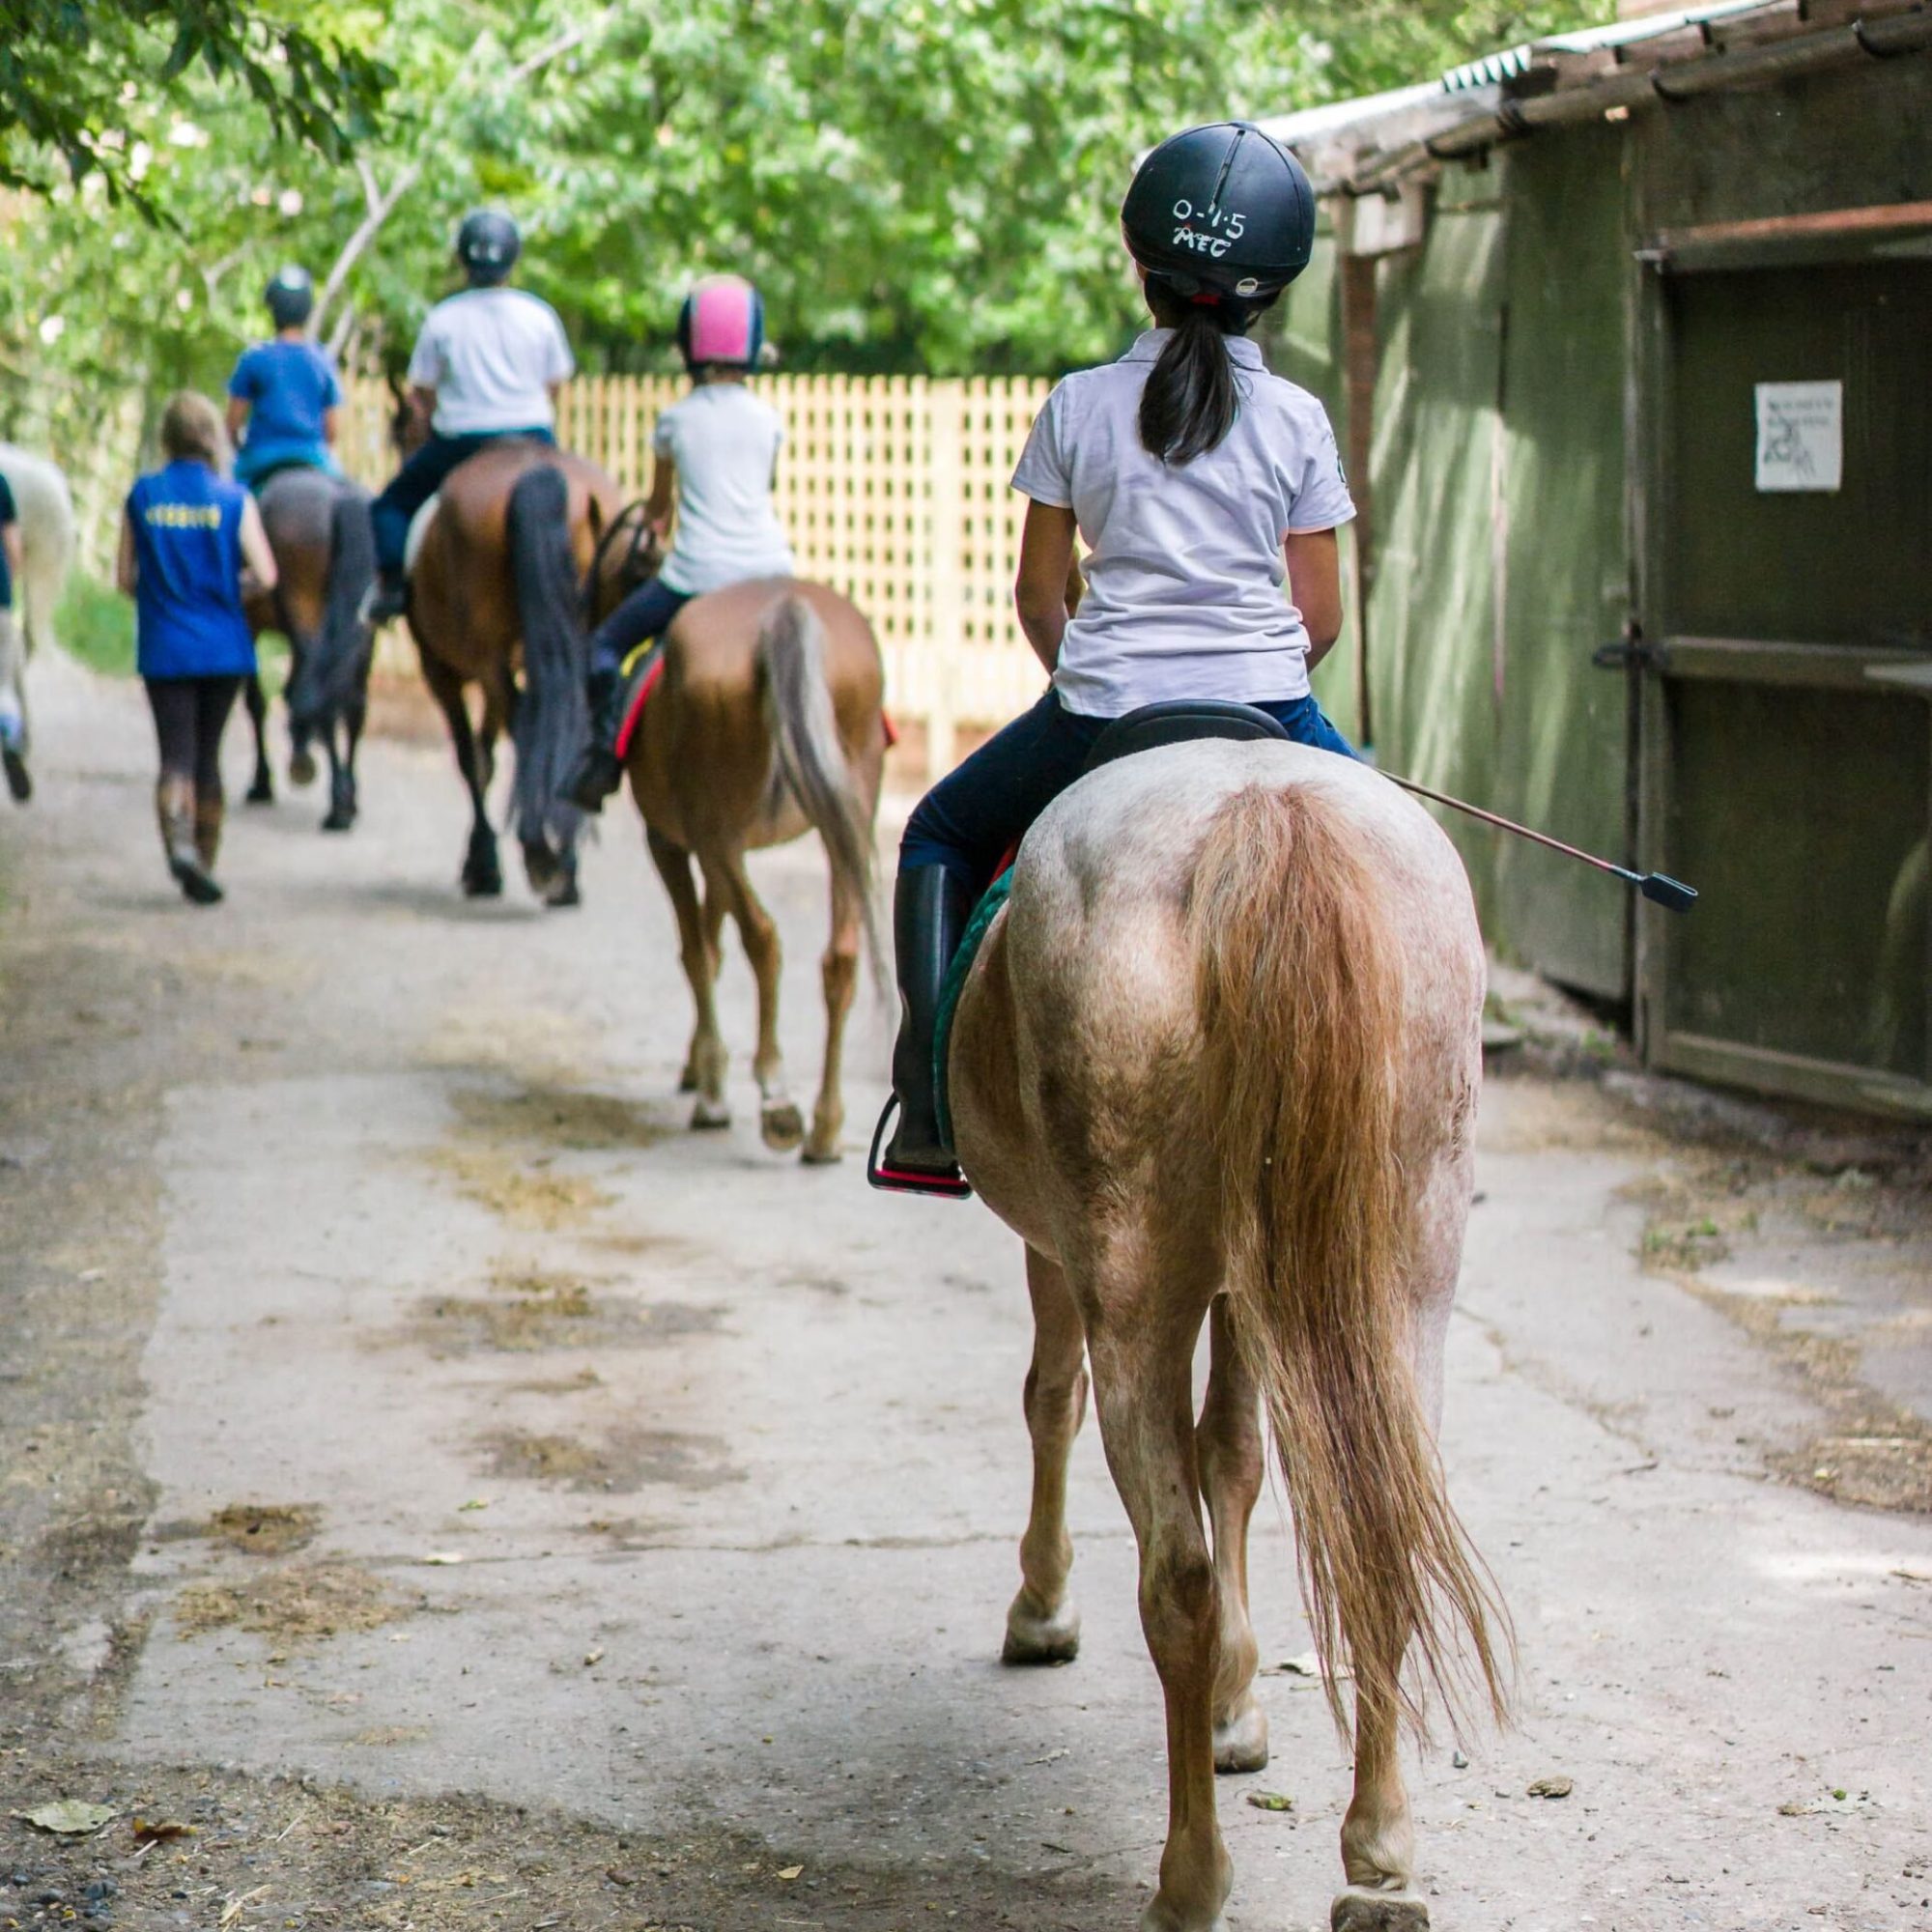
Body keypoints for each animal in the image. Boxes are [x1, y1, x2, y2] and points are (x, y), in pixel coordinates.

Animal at [239, 466, 378, 831]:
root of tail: (342, 498)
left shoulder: (248, 625)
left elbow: (258, 702)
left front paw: (262, 782)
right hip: (362, 628)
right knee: (353, 702)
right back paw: (349, 797)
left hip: (306, 609)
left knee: (321, 697)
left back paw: (336, 803)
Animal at [597, 522, 887, 1164]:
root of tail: (783, 611)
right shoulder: (717, 851)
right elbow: (712, 936)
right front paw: (699, 1066)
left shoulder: (671, 842)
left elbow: (698, 949)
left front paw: (710, 1087)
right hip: (844, 821)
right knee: (839, 956)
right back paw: (825, 1125)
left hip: (716, 832)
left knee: (764, 938)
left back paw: (775, 1095)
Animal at [942, 736, 1511, 1932]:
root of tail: (1262, 812)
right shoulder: (1260, 1281)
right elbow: (1237, 1454)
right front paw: (1239, 1706)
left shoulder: (1056, 1247)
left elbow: (1051, 1397)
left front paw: (1043, 1605)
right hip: (1405, 1271)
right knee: (1380, 1529)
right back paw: (1379, 1864)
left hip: (1129, 1281)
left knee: (1175, 1574)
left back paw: (1188, 1876)